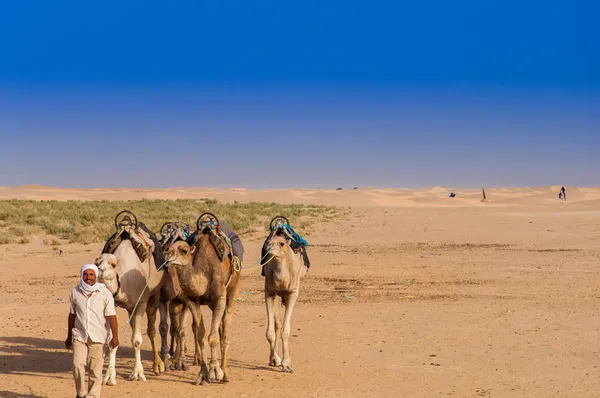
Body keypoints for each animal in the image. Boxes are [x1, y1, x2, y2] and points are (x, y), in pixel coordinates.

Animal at [96, 215, 166, 386]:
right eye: (97, 262)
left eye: (113, 264)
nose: (100, 271)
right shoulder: (113, 304)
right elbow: (111, 341)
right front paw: (109, 376)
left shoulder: (140, 303)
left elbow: (137, 340)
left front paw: (138, 374)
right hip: (130, 308)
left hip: (153, 296)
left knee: (151, 330)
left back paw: (158, 365)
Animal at [164, 232, 241, 384]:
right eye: (168, 248)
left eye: (184, 250)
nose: (168, 260)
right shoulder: (192, 301)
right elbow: (201, 336)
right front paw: (203, 374)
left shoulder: (219, 299)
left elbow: (212, 337)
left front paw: (215, 370)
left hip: (233, 290)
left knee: (225, 331)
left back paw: (225, 374)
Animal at [262, 227, 310, 374]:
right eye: (267, 244)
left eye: (282, 244)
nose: (269, 252)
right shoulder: (269, 292)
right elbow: (270, 332)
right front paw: (275, 359)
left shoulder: (292, 293)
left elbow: (286, 330)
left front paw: (287, 364)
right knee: (276, 323)